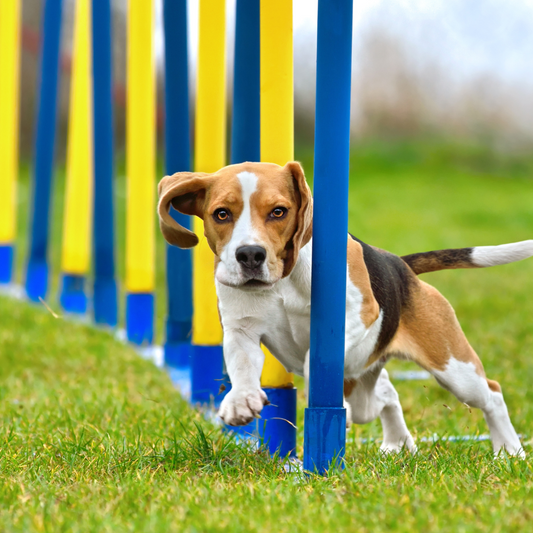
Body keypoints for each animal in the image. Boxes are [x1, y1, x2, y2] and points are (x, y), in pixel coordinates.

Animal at [158, 160, 532, 456]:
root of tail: (401, 266)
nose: (250, 255)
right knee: (386, 393)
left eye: (278, 211)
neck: (282, 281)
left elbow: (315, 358)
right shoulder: (241, 330)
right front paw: (241, 400)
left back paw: (509, 451)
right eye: (221, 214)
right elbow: (241, 366)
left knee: (492, 394)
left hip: (454, 368)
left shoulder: (358, 314)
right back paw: (397, 444)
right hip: (371, 381)